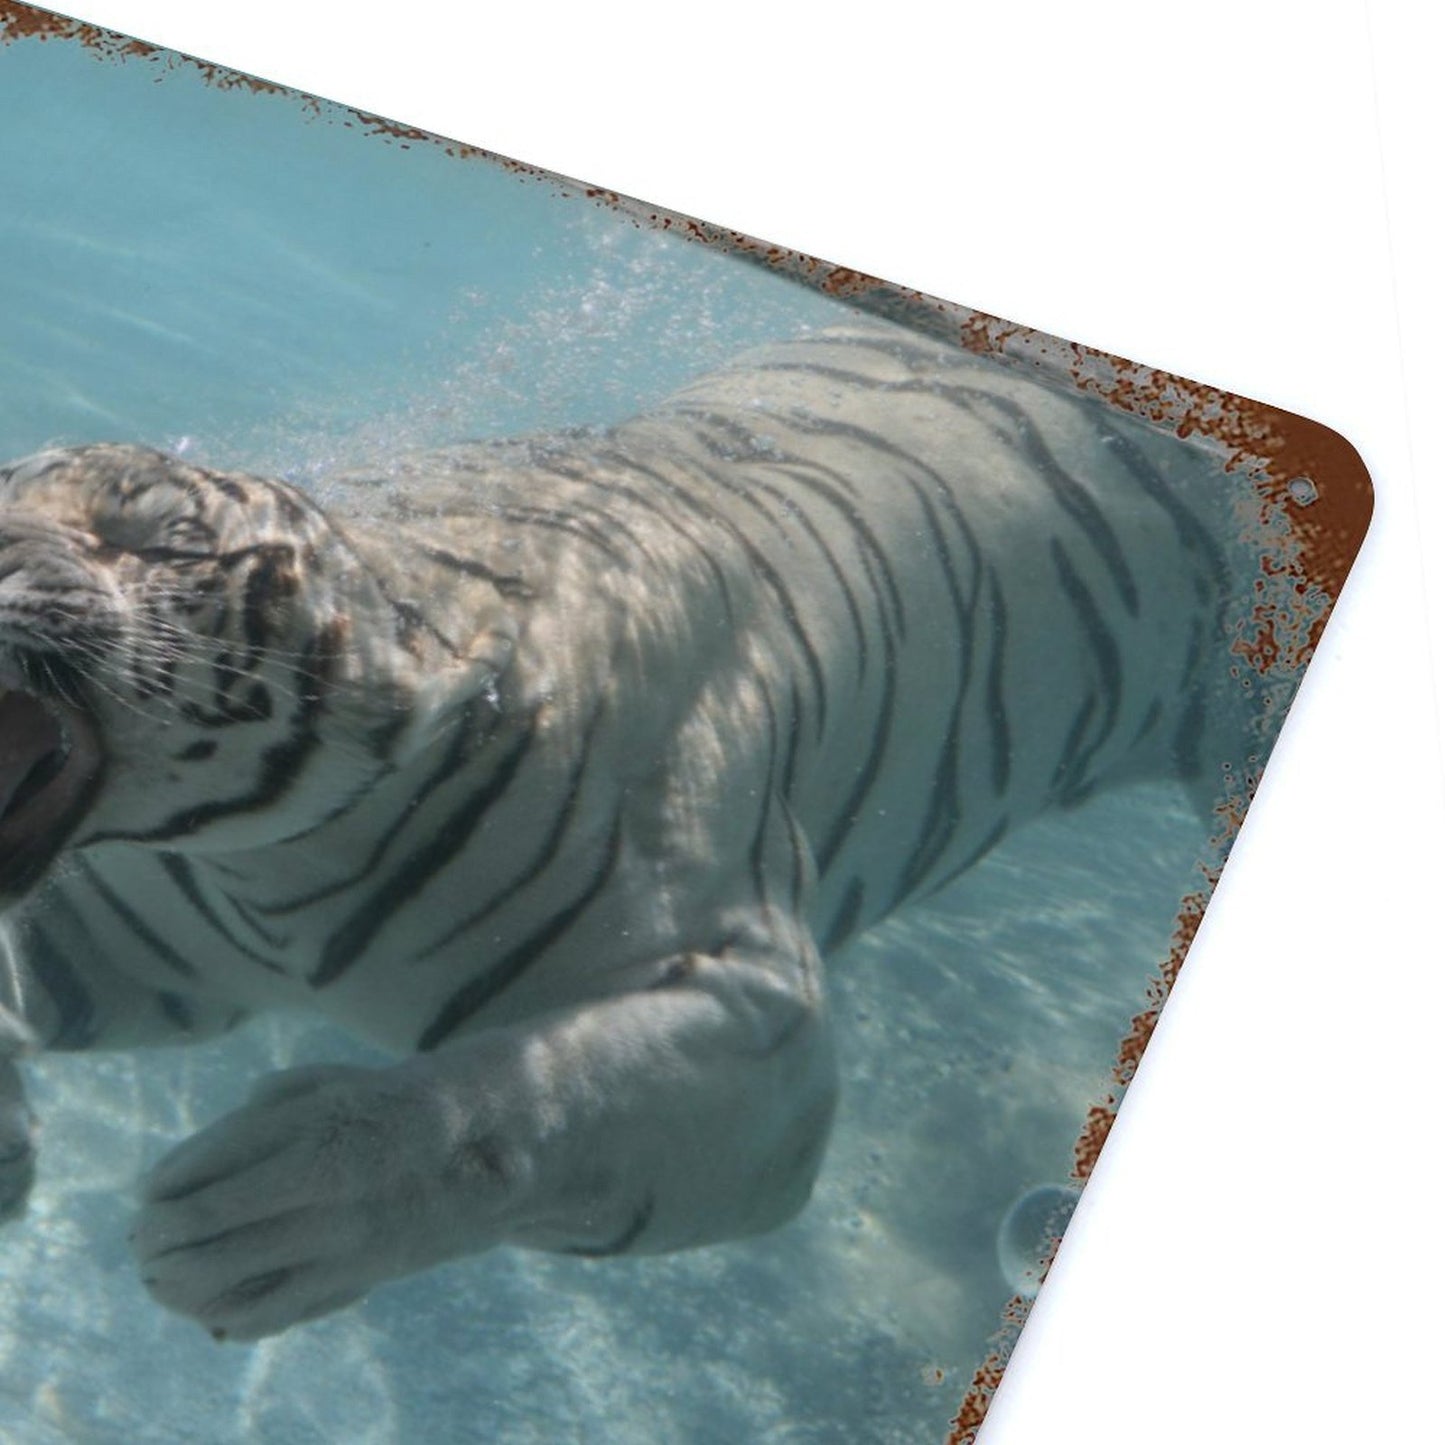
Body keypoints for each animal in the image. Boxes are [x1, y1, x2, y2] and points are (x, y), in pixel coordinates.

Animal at [0, 320, 1247, 1342]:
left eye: (153, 532)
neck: (273, 857)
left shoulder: (766, 1041)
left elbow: (524, 1105)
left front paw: (273, 1209)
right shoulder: (125, 944)